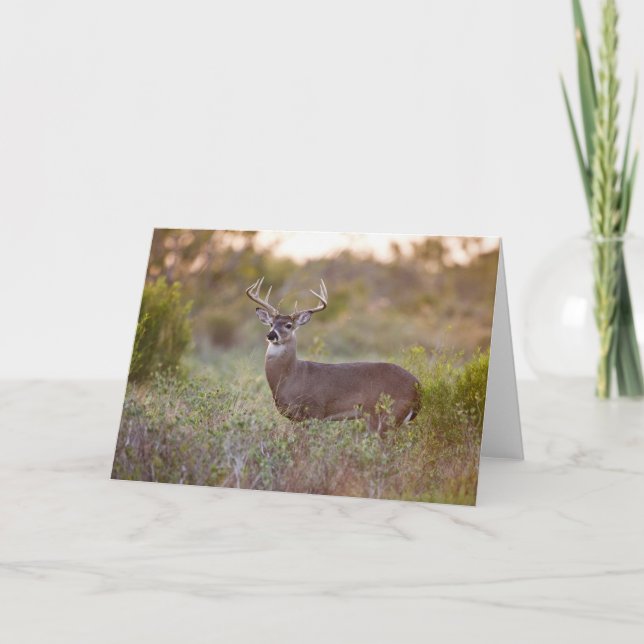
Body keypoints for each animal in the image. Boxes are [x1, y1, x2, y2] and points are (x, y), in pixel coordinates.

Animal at [246, 277, 420, 433]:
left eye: (288, 325)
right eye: (271, 324)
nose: (271, 335)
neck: (290, 377)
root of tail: (418, 386)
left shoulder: (314, 411)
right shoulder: (296, 418)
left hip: (385, 414)